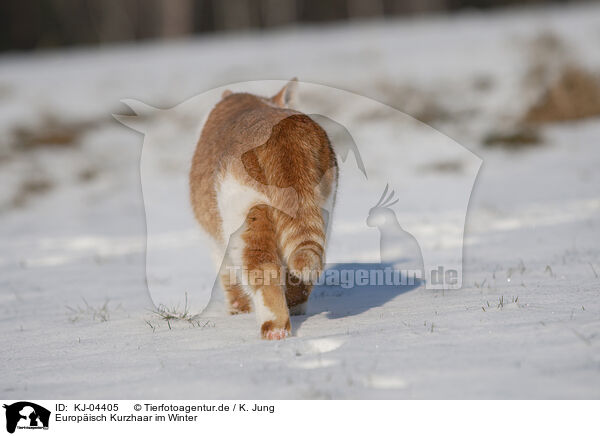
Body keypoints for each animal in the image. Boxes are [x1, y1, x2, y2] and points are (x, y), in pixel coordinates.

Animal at [190, 81, 338, 340]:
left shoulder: (215, 241)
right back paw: (295, 311)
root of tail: (284, 126)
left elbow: (228, 277)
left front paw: (238, 310)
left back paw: (274, 328)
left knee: (262, 269)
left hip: (246, 217)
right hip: (321, 210)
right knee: (301, 270)